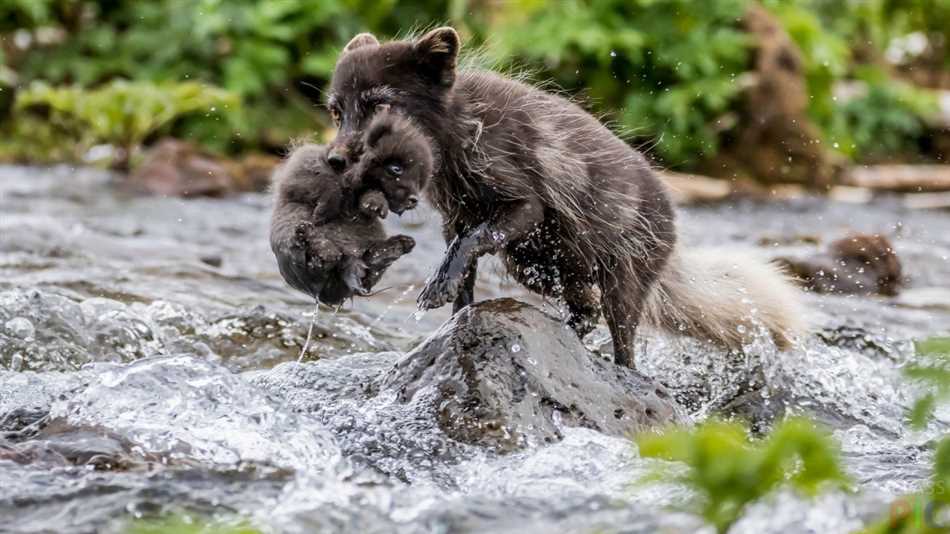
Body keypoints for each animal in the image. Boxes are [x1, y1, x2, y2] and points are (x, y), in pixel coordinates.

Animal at [278, 29, 808, 368]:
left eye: (381, 105)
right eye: (337, 111)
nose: (335, 161)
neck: (459, 132)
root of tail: (674, 226)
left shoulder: (522, 206)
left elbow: (469, 245)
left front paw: (437, 288)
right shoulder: (458, 218)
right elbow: (463, 274)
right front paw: (455, 317)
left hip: (619, 283)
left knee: (623, 346)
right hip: (536, 265)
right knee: (584, 314)